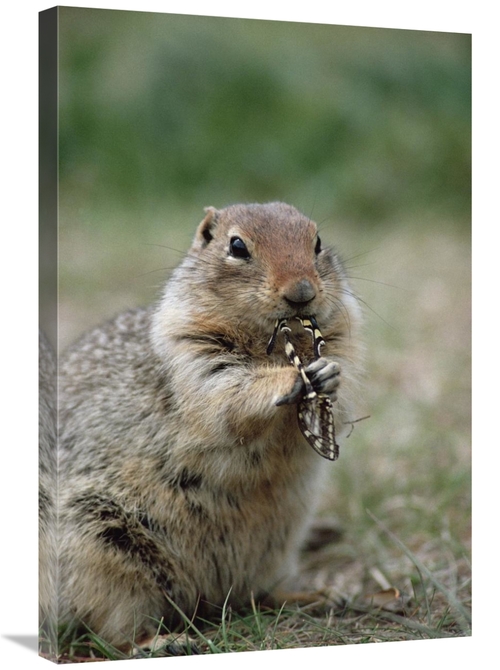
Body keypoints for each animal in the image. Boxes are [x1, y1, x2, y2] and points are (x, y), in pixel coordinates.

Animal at [41, 202, 363, 652]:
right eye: (237, 246)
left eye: (317, 241)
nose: (302, 292)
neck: (277, 345)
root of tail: (208, 599)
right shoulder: (193, 355)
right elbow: (228, 396)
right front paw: (288, 380)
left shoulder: (343, 337)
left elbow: (342, 384)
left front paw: (329, 374)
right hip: (103, 546)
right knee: (110, 631)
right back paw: (161, 641)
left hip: (277, 546)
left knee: (259, 594)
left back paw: (320, 594)